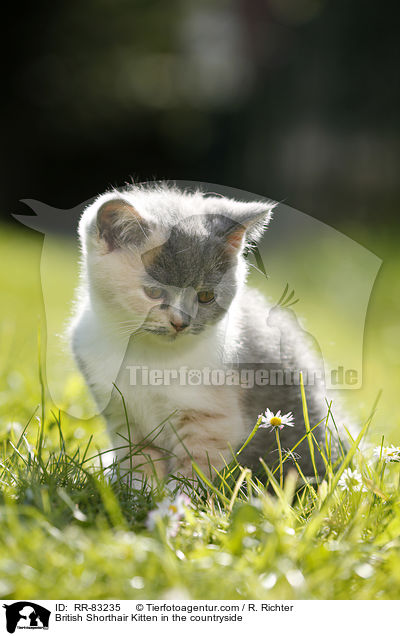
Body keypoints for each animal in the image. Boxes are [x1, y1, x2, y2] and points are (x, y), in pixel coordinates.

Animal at [71, 183, 334, 482]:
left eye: (206, 296)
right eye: (154, 292)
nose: (180, 322)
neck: (148, 355)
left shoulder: (211, 422)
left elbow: (192, 471)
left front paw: (177, 496)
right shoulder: (122, 418)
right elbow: (138, 465)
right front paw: (137, 491)